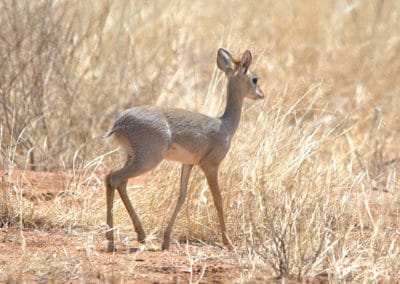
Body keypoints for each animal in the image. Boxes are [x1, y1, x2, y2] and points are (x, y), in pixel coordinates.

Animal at [104, 48, 264, 251]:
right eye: (255, 79)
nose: (261, 95)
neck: (225, 125)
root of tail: (120, 123)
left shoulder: (188, 164)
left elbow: (182, 196)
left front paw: (166, 241)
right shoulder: (210, 165)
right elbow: (218, 199)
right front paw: (228, 242)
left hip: (133, 157)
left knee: (120, 183)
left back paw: (140, 235)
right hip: (147, 160)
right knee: (112, 178)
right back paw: (111, 241)